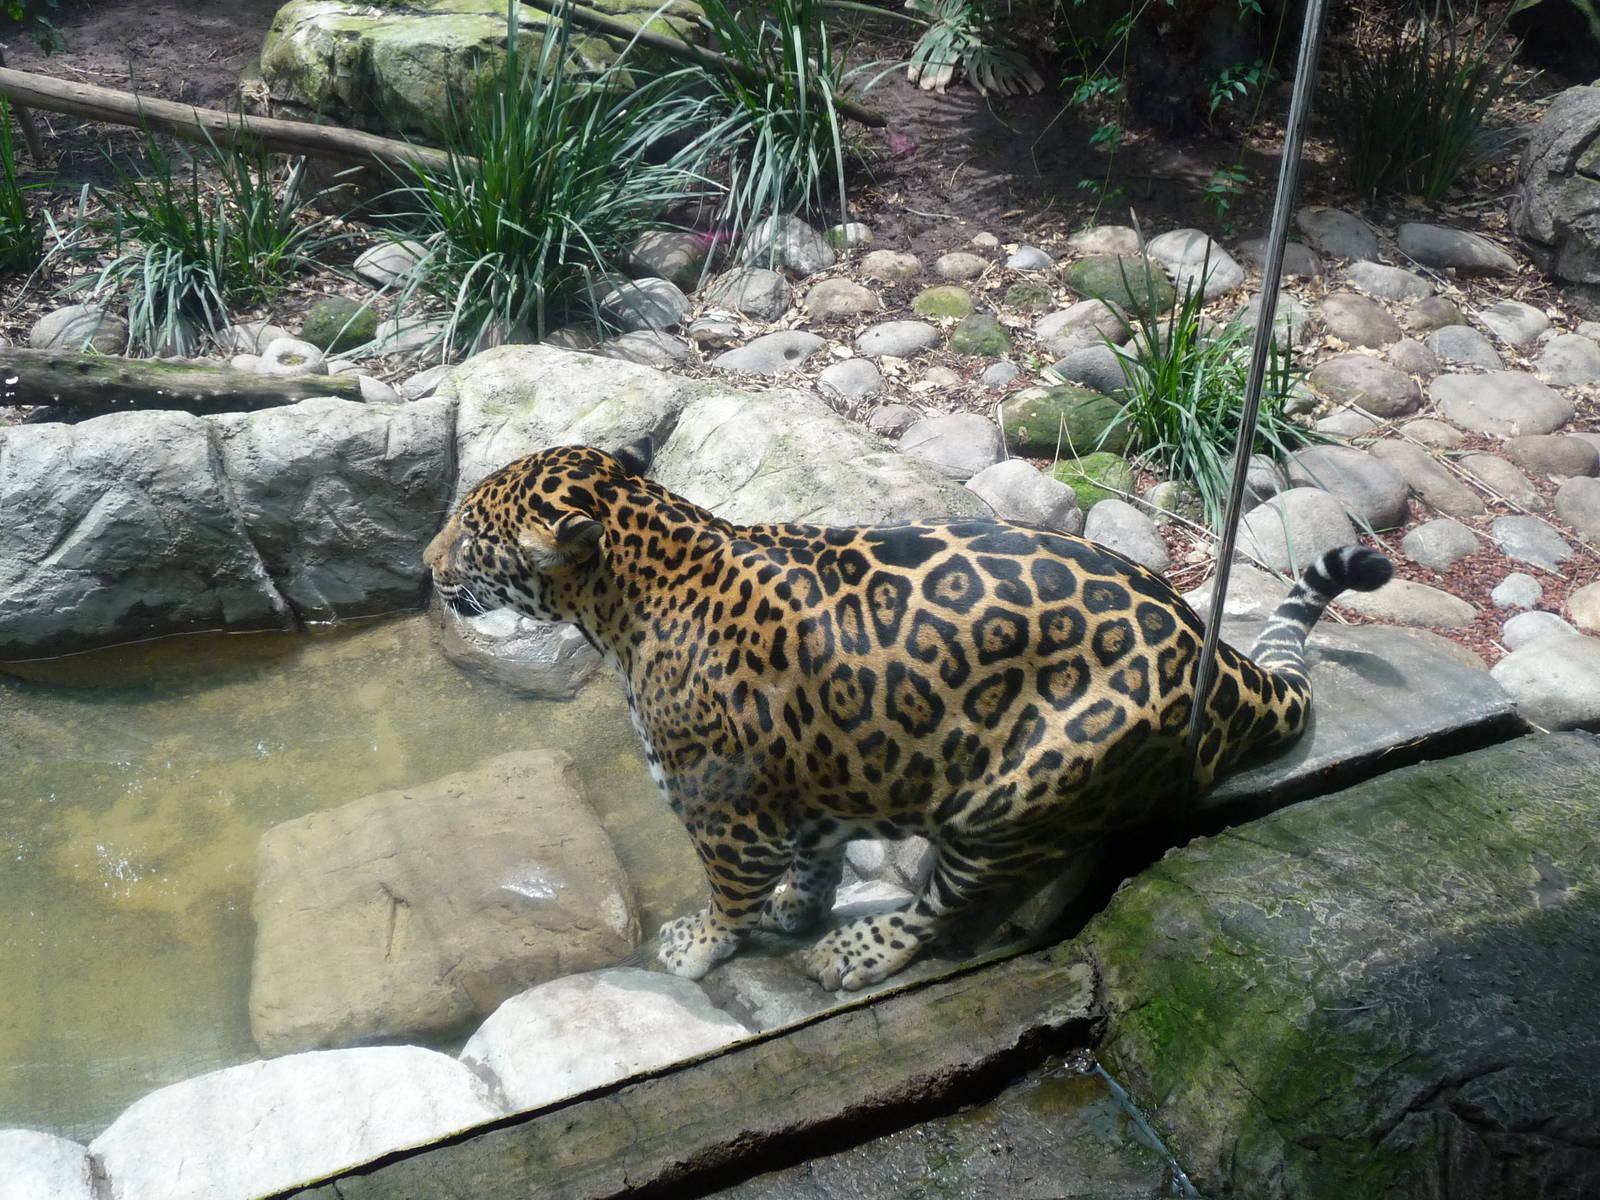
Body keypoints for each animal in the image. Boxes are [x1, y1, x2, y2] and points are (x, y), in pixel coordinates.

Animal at [424, 437, 1392, 992]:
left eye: (471, 534)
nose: (427, 565)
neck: (645, 571)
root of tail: (1216, 657)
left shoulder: (726, 816)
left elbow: (730, 897)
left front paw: (699, 945)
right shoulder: (805, 788)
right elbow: (812, 860)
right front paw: (798, 906)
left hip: (1015, 796)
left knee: (946, 908)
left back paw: (854, 952)